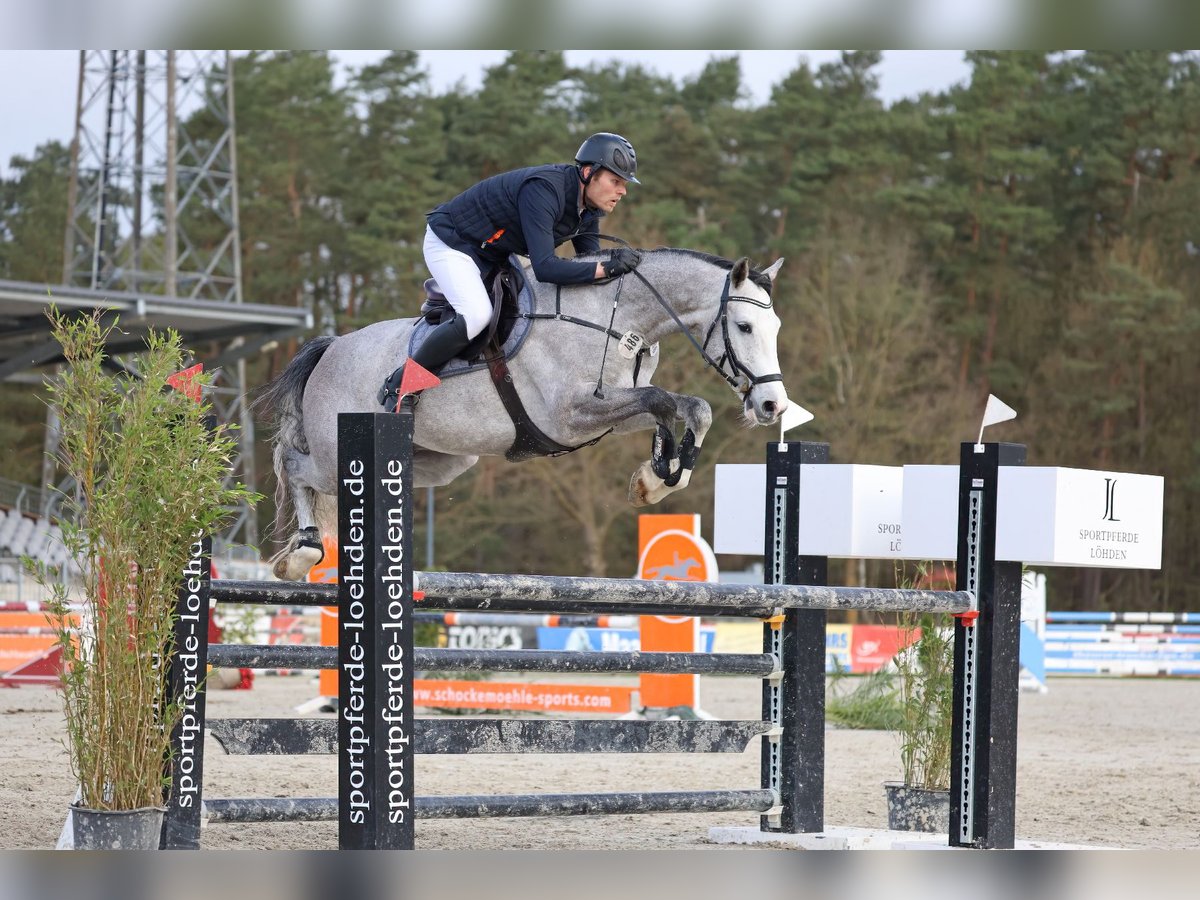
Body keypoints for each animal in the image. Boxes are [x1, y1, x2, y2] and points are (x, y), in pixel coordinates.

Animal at [255, 250, 787, 580]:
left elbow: (687, 407)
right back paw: (302, 554)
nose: (772, 405)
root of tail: (330, 347)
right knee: (292, 463)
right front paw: (658, 472)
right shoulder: (570, 415)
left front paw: (656, 477)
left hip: (439, 462)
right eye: (744, 326)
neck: (614, 317)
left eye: (775, 327)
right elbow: (661, 401)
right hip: (333, 455)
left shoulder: (608, 410)